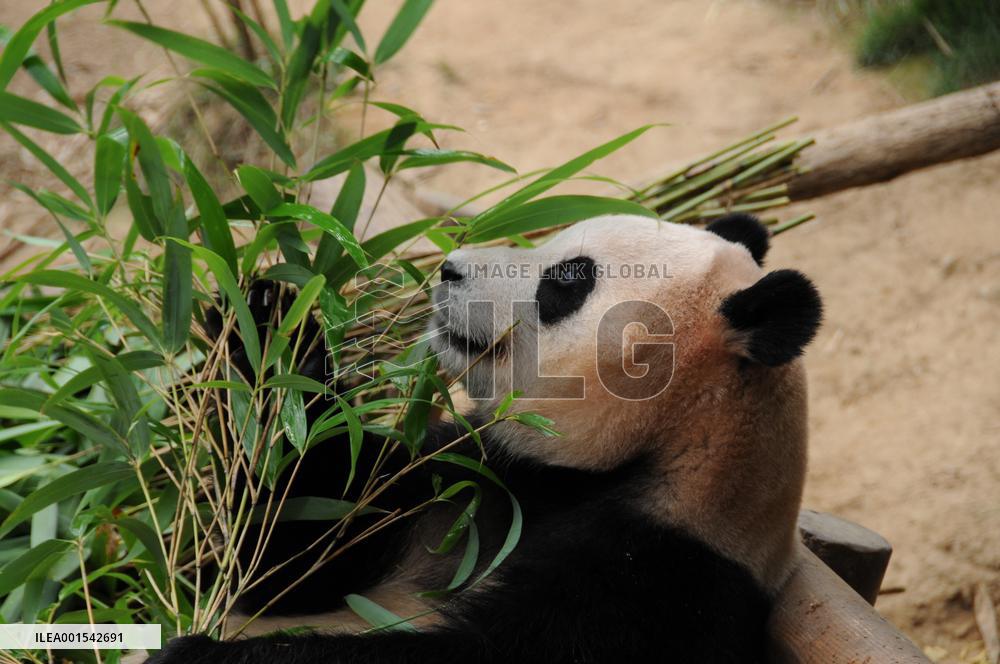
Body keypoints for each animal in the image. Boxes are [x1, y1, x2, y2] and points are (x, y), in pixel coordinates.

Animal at [148, 212, 822, 663]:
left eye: (566, 281)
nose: (449, 269)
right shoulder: (473, 474)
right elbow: (293, 559)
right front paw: (267, 331)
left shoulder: (660, 581)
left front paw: (195, 654)